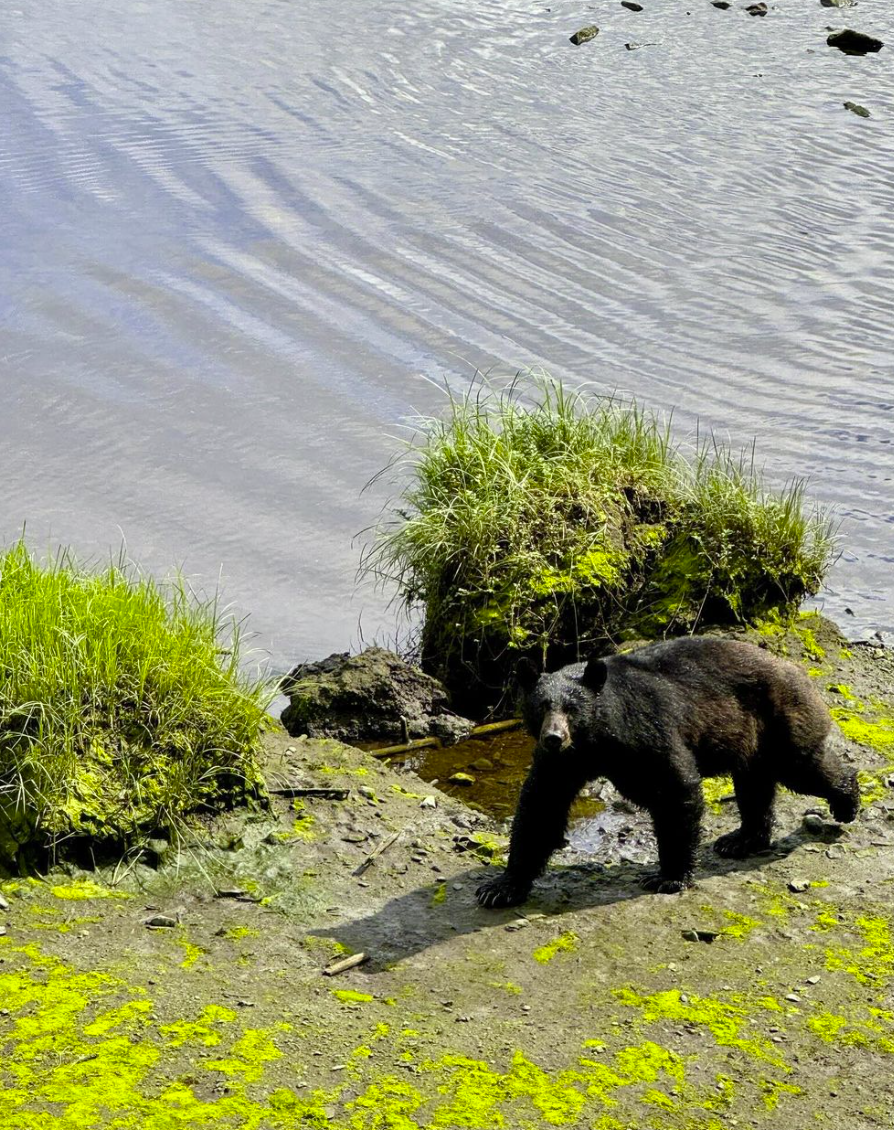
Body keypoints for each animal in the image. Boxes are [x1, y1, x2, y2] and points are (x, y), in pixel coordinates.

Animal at [474, 637, 858, 908]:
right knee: (754, 786)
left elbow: (676, 788)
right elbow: (541, 806)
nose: (554, 737)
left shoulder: (649, 729)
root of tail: (797, 670)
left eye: (572, 708)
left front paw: (669, 877)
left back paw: (847, 802)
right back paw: (742, 838)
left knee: (803, 768)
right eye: (541, 706)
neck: (599, 738)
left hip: (778, 720)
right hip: (751, 741)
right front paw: (500, 888)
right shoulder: (564, 762)